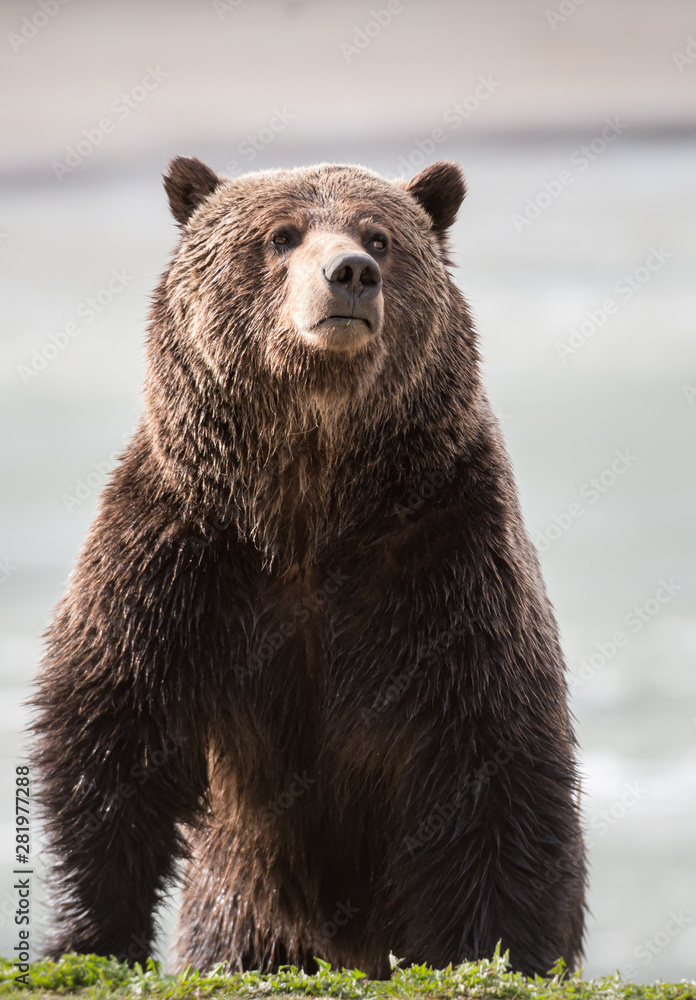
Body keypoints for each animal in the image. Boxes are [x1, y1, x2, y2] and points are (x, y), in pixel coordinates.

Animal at [32, 157, 586, 979]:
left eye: (379, 236)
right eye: (280, 235)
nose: (350, 273)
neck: (311, 506)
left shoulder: (443, 556)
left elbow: (491, 751)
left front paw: (496, 948)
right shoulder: (182, 550)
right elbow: (111, 723)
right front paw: (89, 936)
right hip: (239, 896)